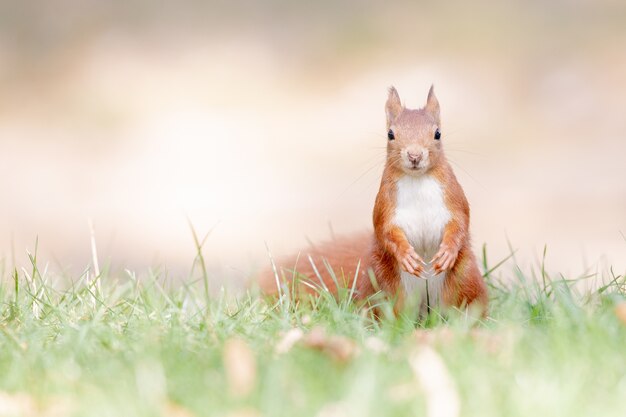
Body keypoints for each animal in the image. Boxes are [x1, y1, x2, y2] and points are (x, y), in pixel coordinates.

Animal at [260, 85, 488, 312]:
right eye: (390, 134)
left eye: (438, 133)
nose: (414, 155)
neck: (417, 181)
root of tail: (425, 308)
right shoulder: (385, 205)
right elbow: (385, 230)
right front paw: (406, 255)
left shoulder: (453, 197)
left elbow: (461, 222)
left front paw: (447, 252)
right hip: (385, 285)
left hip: (464, 280)